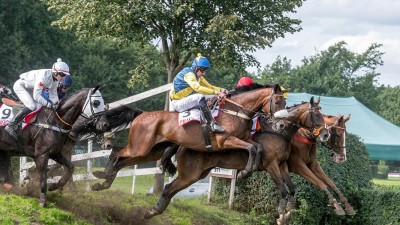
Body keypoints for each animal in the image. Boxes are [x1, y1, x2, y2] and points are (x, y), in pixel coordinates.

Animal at [93, 82, 288, 190]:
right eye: (277, 101)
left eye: (285, 102)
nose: (281, 125)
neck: (235, 111)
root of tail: (141, 114)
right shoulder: (225, 140)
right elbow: (252, 148)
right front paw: (246, 171)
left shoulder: (243, 138)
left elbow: (257, 147)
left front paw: (248, 170)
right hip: (139, 147)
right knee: (116, 152)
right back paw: (103, 174)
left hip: (150, 151)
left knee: (122, 161)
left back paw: (103, 183)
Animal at [138, 96, 328, 221]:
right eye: (317, 115)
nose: (326, 134)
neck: (278, 133)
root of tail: (182, 144)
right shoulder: (271, 165)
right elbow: (282, 188)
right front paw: (282, 211)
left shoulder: (282, 165)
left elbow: (291, 187)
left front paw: (288, 210)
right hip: (190, 174)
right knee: (168, 188)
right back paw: (152, 211)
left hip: (197, 174)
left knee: (170, 190)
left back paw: (153, 211)